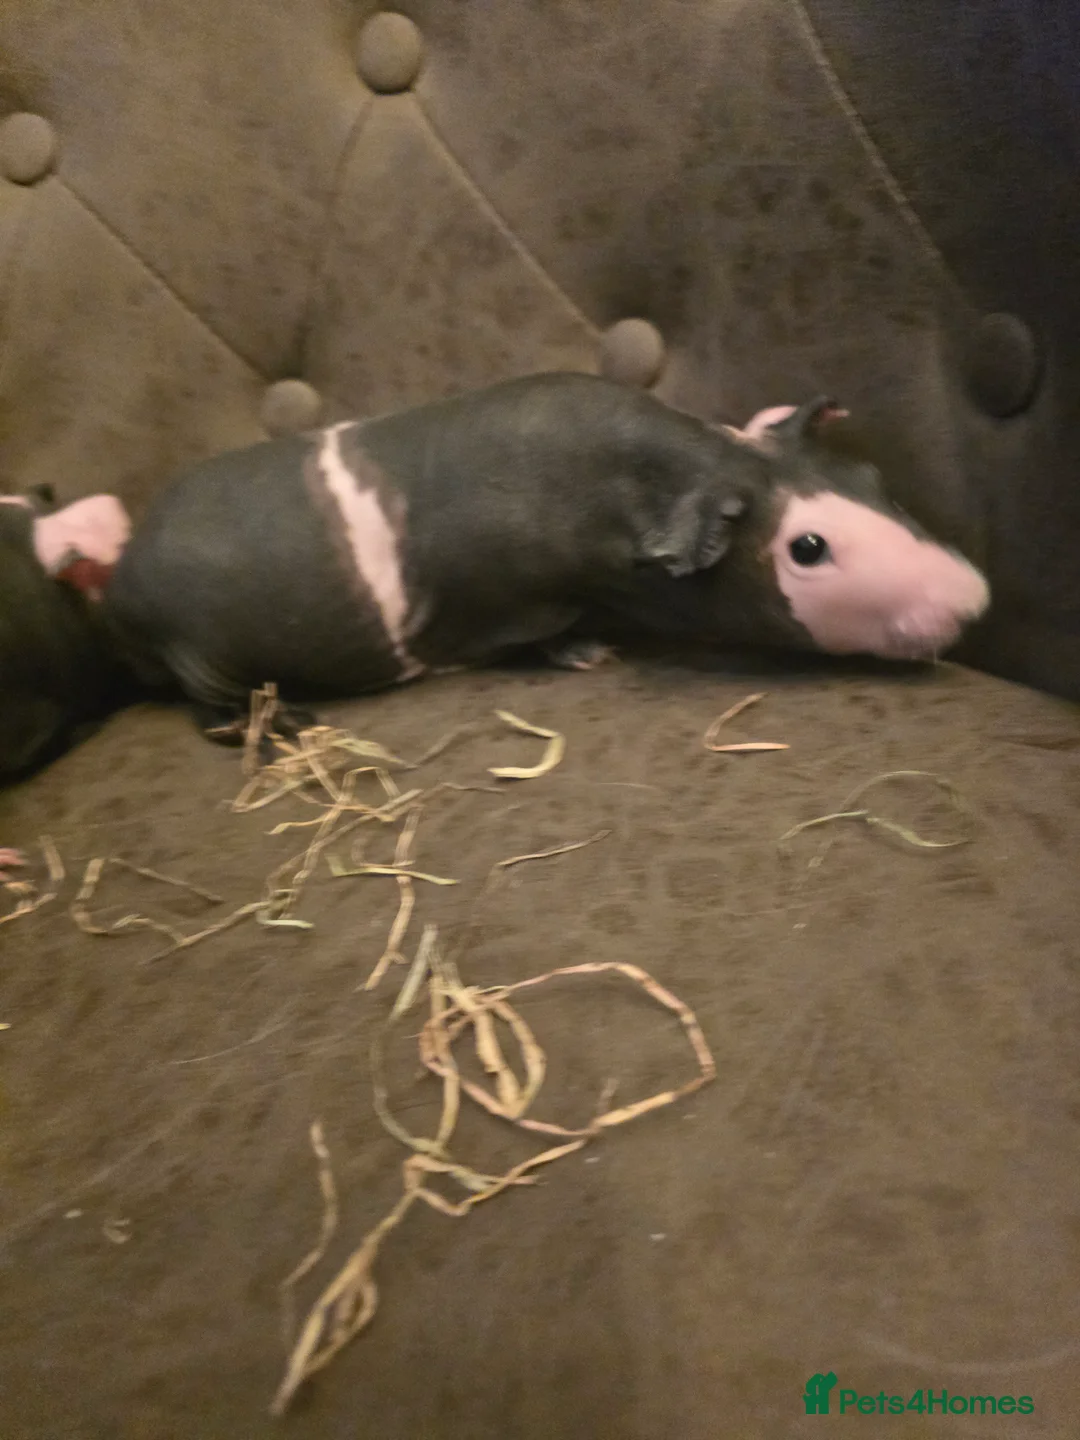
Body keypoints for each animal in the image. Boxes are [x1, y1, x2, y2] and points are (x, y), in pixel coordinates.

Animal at [101, 372, 990, 746]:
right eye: (809, 548)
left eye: (870, 479)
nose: (974, 598)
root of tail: (121, 590)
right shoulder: (518, 603)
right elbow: (538, 636)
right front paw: (584, 653)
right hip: (203, 654)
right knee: (211, 706)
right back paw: (278, 722)